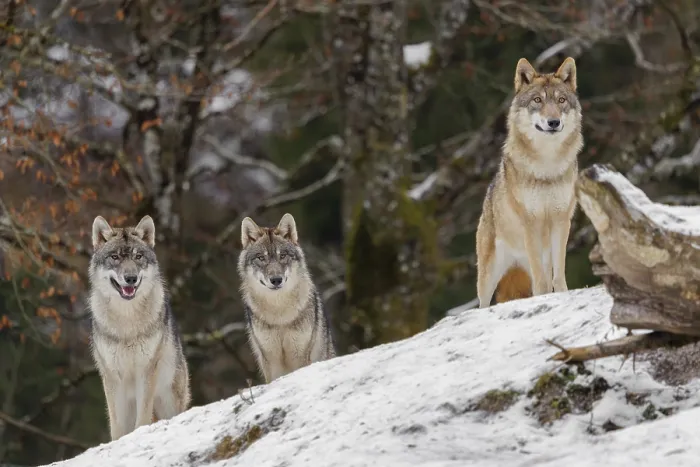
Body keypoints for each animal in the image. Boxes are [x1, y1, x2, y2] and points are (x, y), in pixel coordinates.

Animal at [88, 215, 190, 441]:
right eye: (115, 257)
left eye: (138, 257)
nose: (131, 278)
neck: (127, 322)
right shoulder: (112, 376)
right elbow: (117, 425)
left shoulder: (146, 370)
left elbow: (143, 418)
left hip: (168, 399)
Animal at [238, 213, 335, 383]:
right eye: (261, 258)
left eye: (282, 256)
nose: (276, 280)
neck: (279, 314)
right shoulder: (270, 359)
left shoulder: (300, 354)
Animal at [476, 57, 584, 308]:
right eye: (537, 100)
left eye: (561, 100)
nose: (553, 122)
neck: (546, 166)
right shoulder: (531, 222)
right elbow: (542, 282)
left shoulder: (561, 220)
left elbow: (558, 276)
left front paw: (561, 295)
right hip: (489, 274)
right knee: (483, 303)